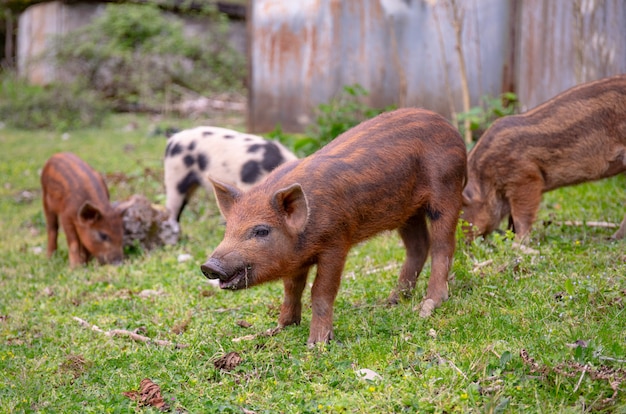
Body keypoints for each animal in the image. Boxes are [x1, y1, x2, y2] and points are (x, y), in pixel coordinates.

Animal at [199, 107, 464, 346]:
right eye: (227, 228)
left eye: (262, 231)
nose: (209, 266)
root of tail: (449, 126)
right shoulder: (296, 258)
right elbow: (291, 288)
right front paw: (278, 329)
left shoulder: (336, 242)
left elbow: (321, 291)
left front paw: (316, 344)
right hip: (407, 212)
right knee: (418, 246)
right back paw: (392, 301)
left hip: (446, 189)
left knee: (443, 245)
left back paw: (428, 305)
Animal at [460, 75, 624, 239]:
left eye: (461, 212)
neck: (486, 178)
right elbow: (512, 218)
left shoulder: (526, 178)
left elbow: (521, 216)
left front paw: (518, 241)